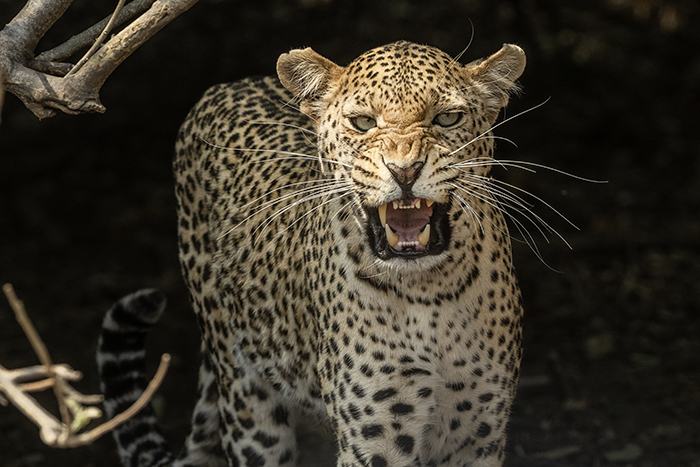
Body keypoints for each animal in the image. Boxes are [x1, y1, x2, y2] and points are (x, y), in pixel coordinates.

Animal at [97, 40, 527, 467]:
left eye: (448, 118)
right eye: (363, 123)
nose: (404, 171)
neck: (429, 292)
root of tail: (227, 85)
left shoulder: (478, 434)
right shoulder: (375, 439)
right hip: (246, 397)